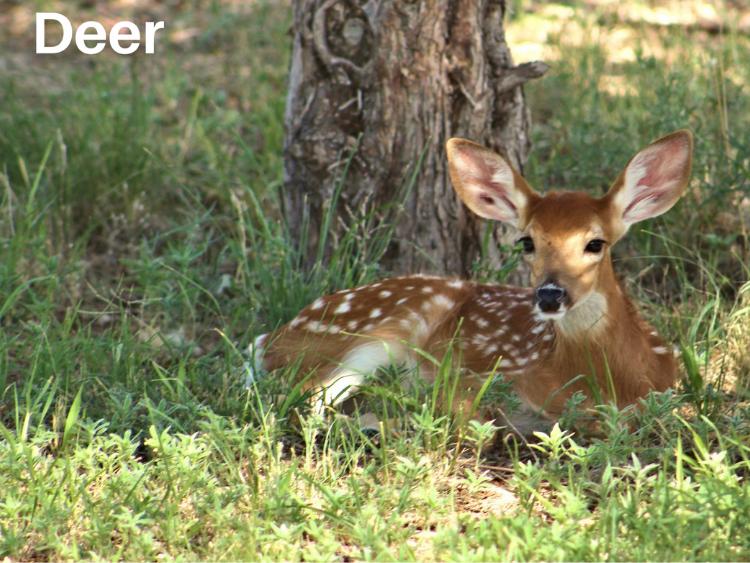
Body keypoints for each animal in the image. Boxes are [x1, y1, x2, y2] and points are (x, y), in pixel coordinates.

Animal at [246, 130, 693, 434]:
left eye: (595, 243)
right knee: (301, 400)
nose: (550, 295)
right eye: (527, 241)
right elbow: (475, 419)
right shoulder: (478, 372)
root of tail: (270, 338)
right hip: (372, 334)